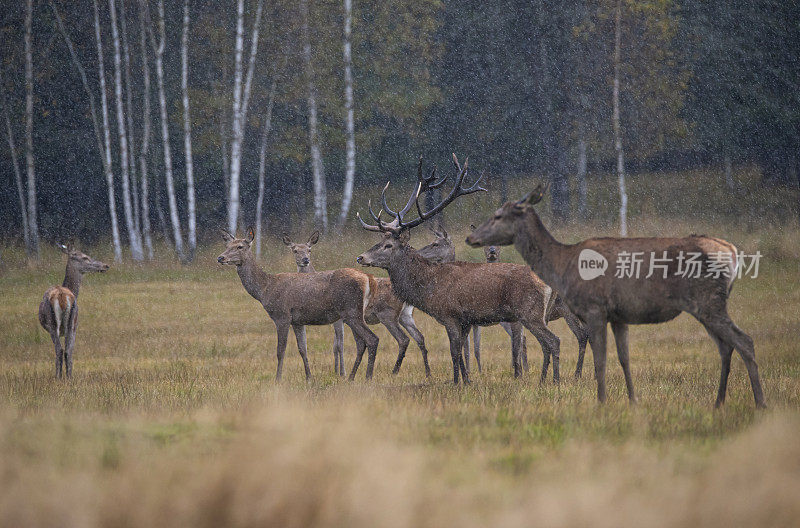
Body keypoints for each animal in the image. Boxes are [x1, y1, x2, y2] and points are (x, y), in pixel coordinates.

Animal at [38, 243, 109, 380]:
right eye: (85, 257)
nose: (105, 265)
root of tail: (61, 295)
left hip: (60, 324)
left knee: (61, 350)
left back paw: (61, 377)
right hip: (69, 322)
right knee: (65, 350)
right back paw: (65, 377)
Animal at [219, 226, 382, 380]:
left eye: (240, 246)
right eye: (227, 245)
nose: (220, 257)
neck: (265, 289)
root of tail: (368, 278)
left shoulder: (282, 316)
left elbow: (280, 350)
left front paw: (278, 380)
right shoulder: (297, 321)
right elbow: (302, 349)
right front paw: (309, 378)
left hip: (351, 311)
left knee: (372, 339)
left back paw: (367, 377)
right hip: (352, 313)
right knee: (361, 343)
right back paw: (351, 377)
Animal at [282, 230, 432, 376]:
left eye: (309, 250)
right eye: (295, 250)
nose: (305, 260)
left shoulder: (339, 320)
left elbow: (339, 345)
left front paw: (341, 372)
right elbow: (336, 345)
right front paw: (337, 371)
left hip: (387, 315)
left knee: (403, 339)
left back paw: (393, 372)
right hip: (405, 315)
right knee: (419, 337)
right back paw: (427, 372)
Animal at [356, 156, 564, 384]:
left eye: (388, 245)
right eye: (379, 241)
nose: (361, 257)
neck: (429, 289)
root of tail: (550, 285)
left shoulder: (450, 315)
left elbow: (454, 352)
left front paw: (456, 382)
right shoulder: (465, 321)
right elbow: (462, 352)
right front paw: (467, 380)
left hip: (529, 312)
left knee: (553, 341)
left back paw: (555, 381)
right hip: (538, 315)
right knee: (545, 344)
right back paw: (543, 379)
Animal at [466, 186, 764, 408]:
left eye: (498, 216)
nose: (472, 238)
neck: (562, 262)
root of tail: (733, 252)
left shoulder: (594, 309)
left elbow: (599, 356)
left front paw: (600, 401)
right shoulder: (618, 316)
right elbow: (623, 357)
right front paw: (632, 401)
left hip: (708, 302)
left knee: (744, 341)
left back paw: (759, 402)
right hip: (705, 308)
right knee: (726, 346)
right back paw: (719, 402)